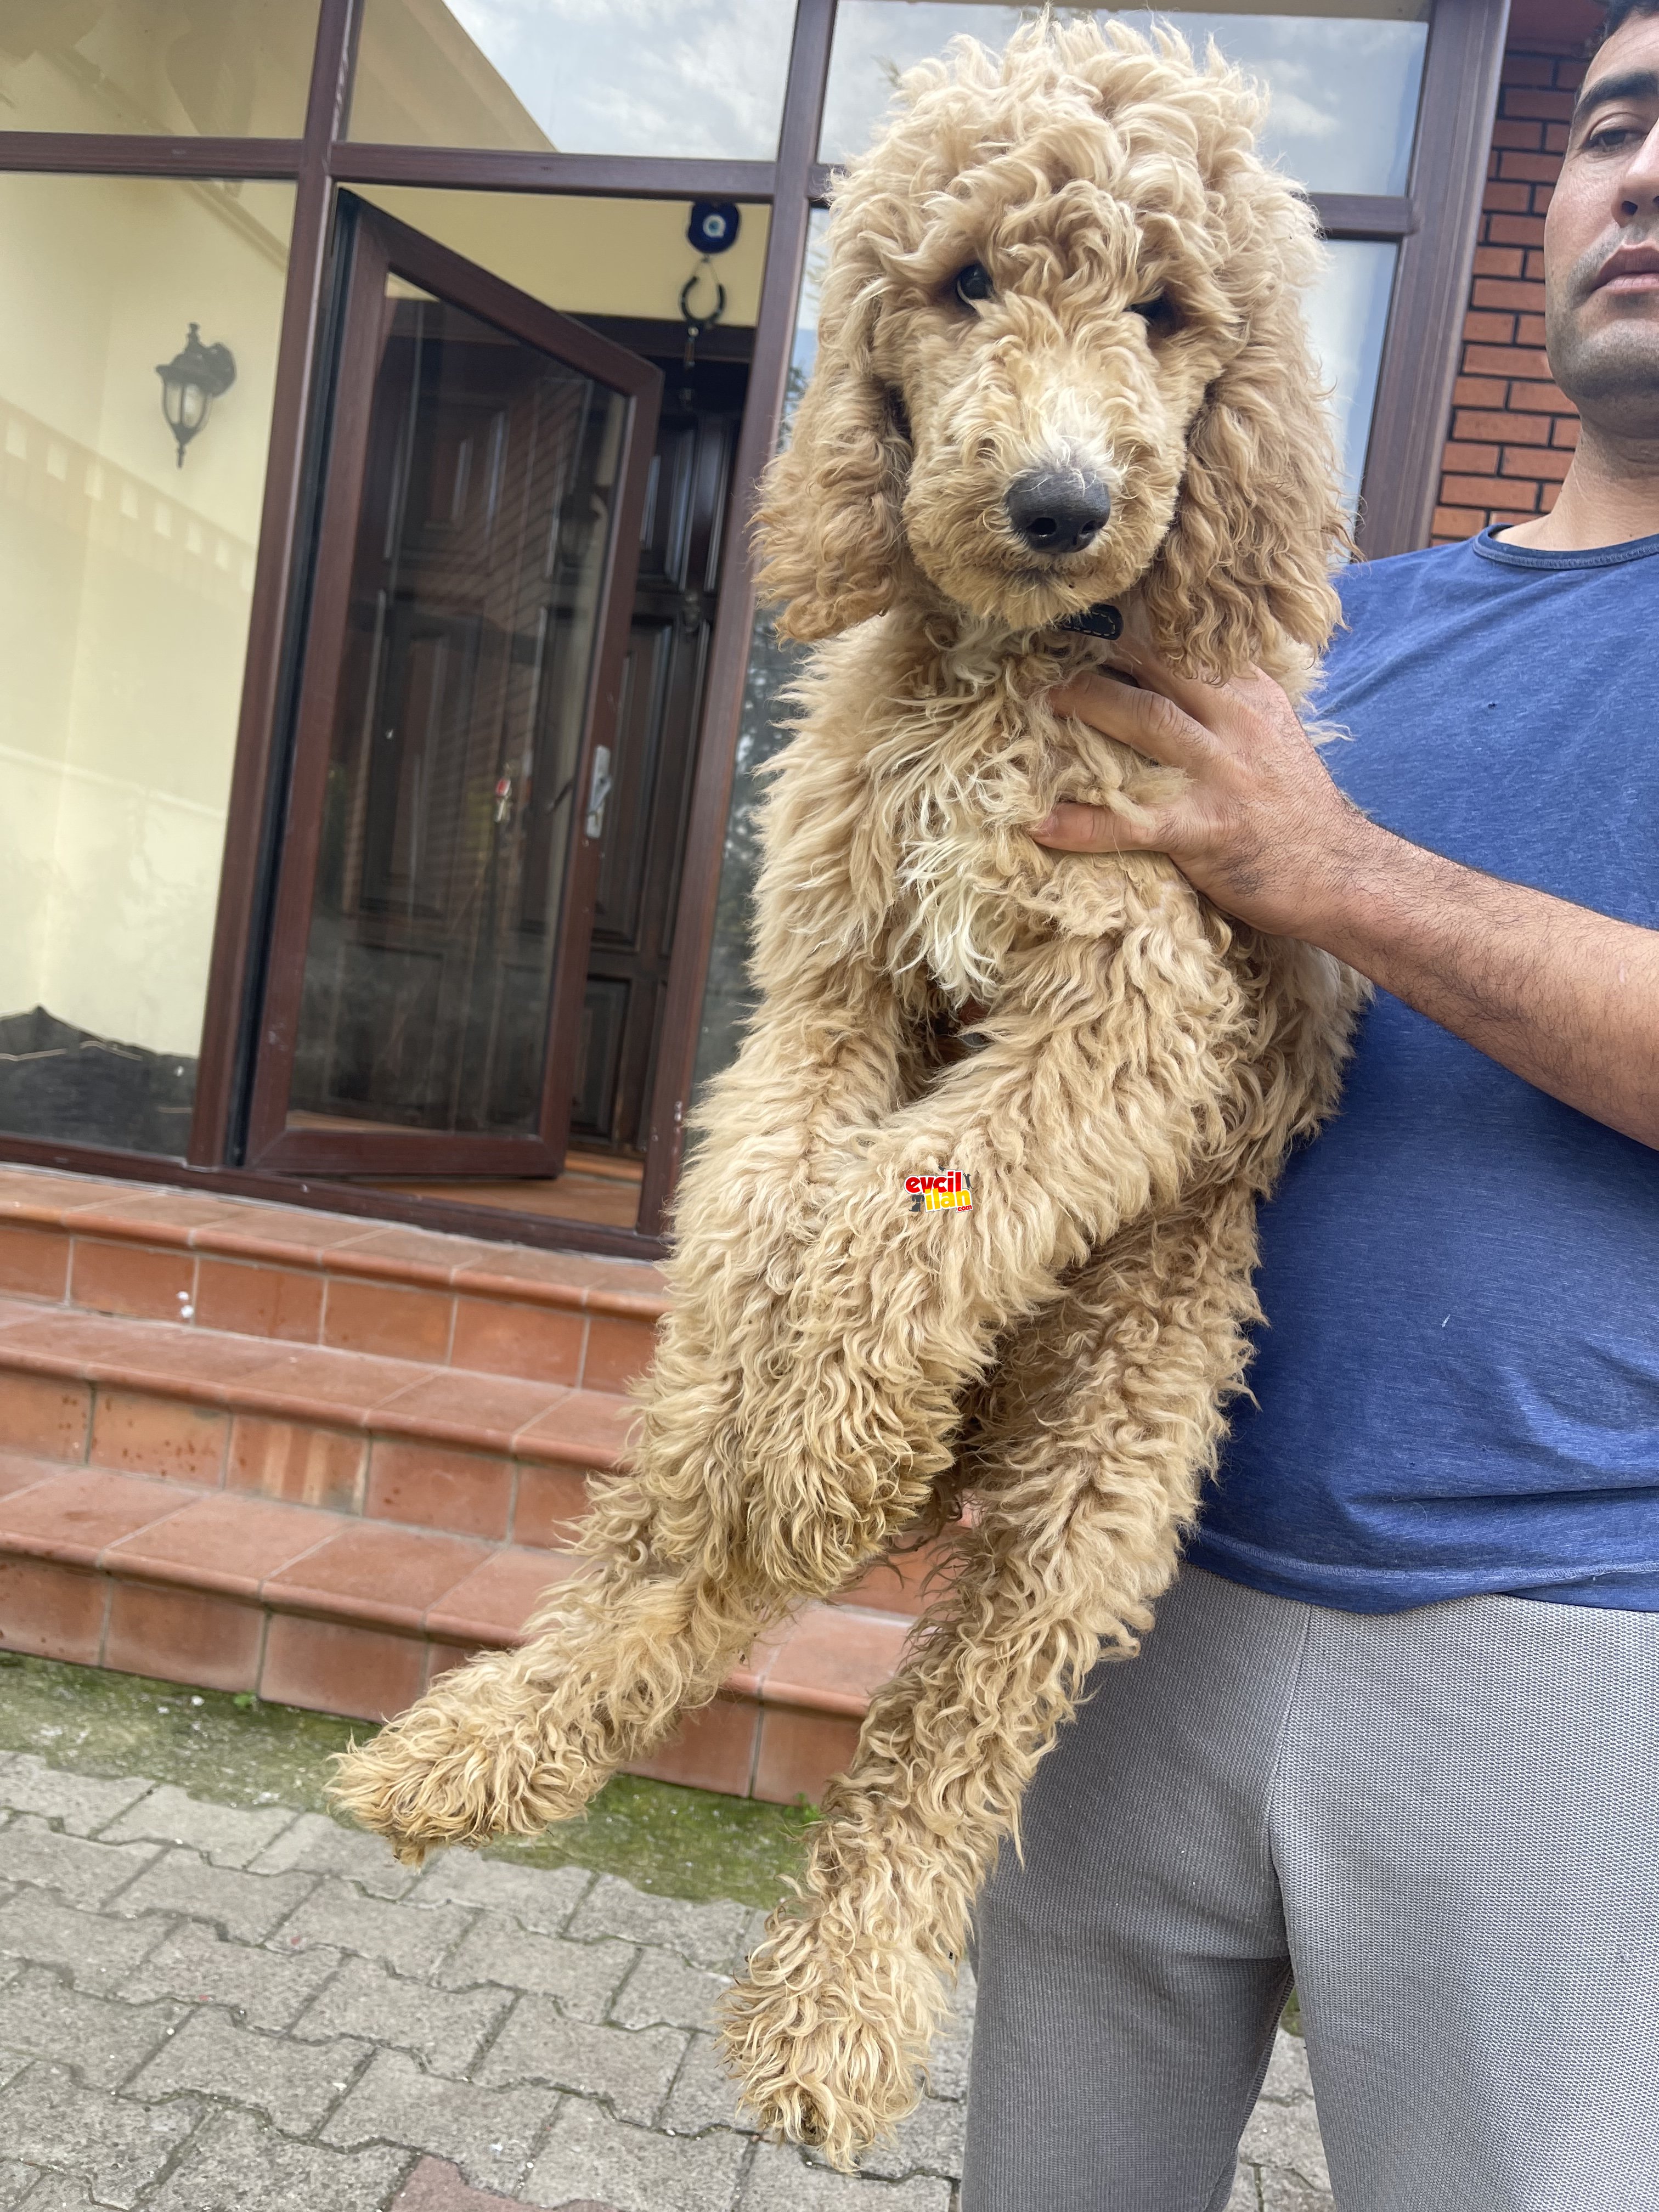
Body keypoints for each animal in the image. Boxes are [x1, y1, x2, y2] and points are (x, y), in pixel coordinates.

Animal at [334, 17, 1362, 2159]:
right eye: (964, 282)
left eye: (1165, 311)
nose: (1058, 502)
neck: (1007, 677)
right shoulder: (824, 978)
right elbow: (777, 1202)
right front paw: (774, 1409)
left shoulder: (1131, 1009)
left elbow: (913, 1199)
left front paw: (824, 1422)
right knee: (676, 1566)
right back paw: (488, 1736)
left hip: (1111, 1446)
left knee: (947, 1735)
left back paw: (835, 2003)